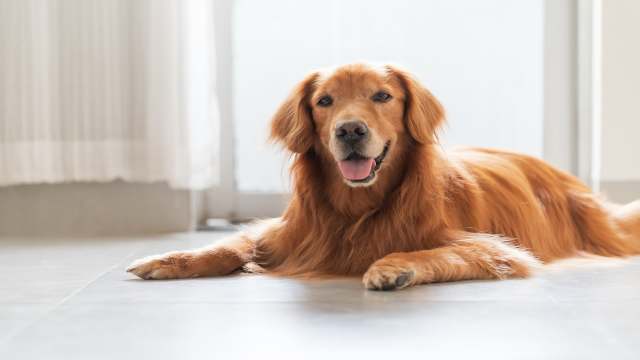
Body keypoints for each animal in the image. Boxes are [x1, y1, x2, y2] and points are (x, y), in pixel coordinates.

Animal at [126, 63, 640, 292]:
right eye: (325, 101)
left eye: (382, 96)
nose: (351, 130)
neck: (358, 208)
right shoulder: (286, 232)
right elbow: (230, 245)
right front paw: (172, 259)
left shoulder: (498, 248)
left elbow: (440, 250)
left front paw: (394, 266)